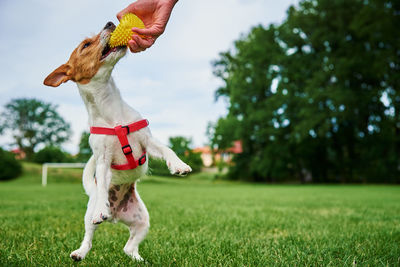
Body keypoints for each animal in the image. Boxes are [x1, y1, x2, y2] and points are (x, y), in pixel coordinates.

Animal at [43, 22, 192, 262]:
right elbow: (103, 183)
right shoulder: (103, 160)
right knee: (89, 237)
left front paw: (179, 165)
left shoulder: (147, 141)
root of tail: (115, 217)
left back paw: (139, 260)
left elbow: (167, 149)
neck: (111, 111)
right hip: (89, 215)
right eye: (86, 45)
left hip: (142, 220)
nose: (110, 23)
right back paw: (80, 251)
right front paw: (102, 207)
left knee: (129, 247)